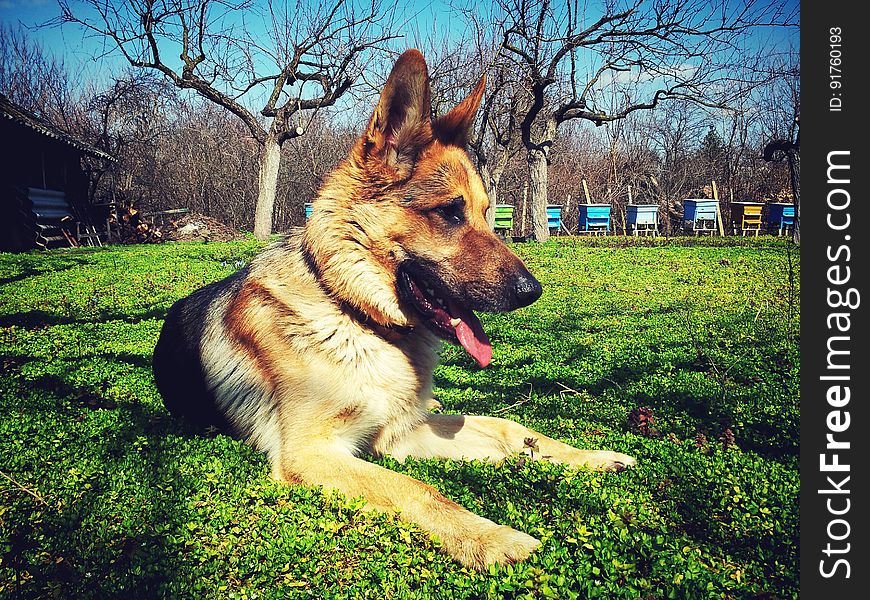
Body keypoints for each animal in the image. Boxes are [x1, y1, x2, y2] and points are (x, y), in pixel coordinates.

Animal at [155, 49, 632, 568]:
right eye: (450, 212)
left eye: (487, 213)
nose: (533, 291)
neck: (354, 315)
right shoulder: (313, 452)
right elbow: (417, 488)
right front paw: (489, 537)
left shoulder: (400, 433)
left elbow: (508, 428)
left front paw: (590, 458)